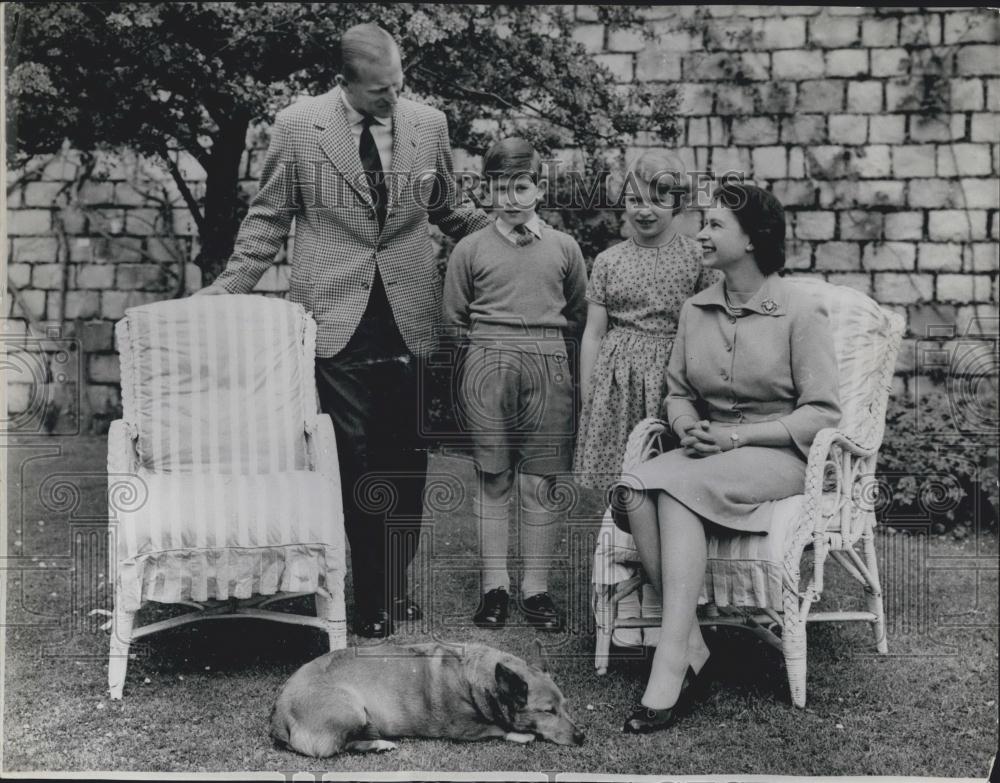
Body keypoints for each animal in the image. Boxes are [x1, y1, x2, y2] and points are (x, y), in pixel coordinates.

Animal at [272, 644, 584, 760]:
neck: (474, 676)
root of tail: (278, 716)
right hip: (353, 710)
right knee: (341, 746)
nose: (582, 737)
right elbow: (498, 728)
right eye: (548, 711)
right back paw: (379, 743)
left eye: (566, 706)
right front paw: (522, 735)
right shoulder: (464, 729)